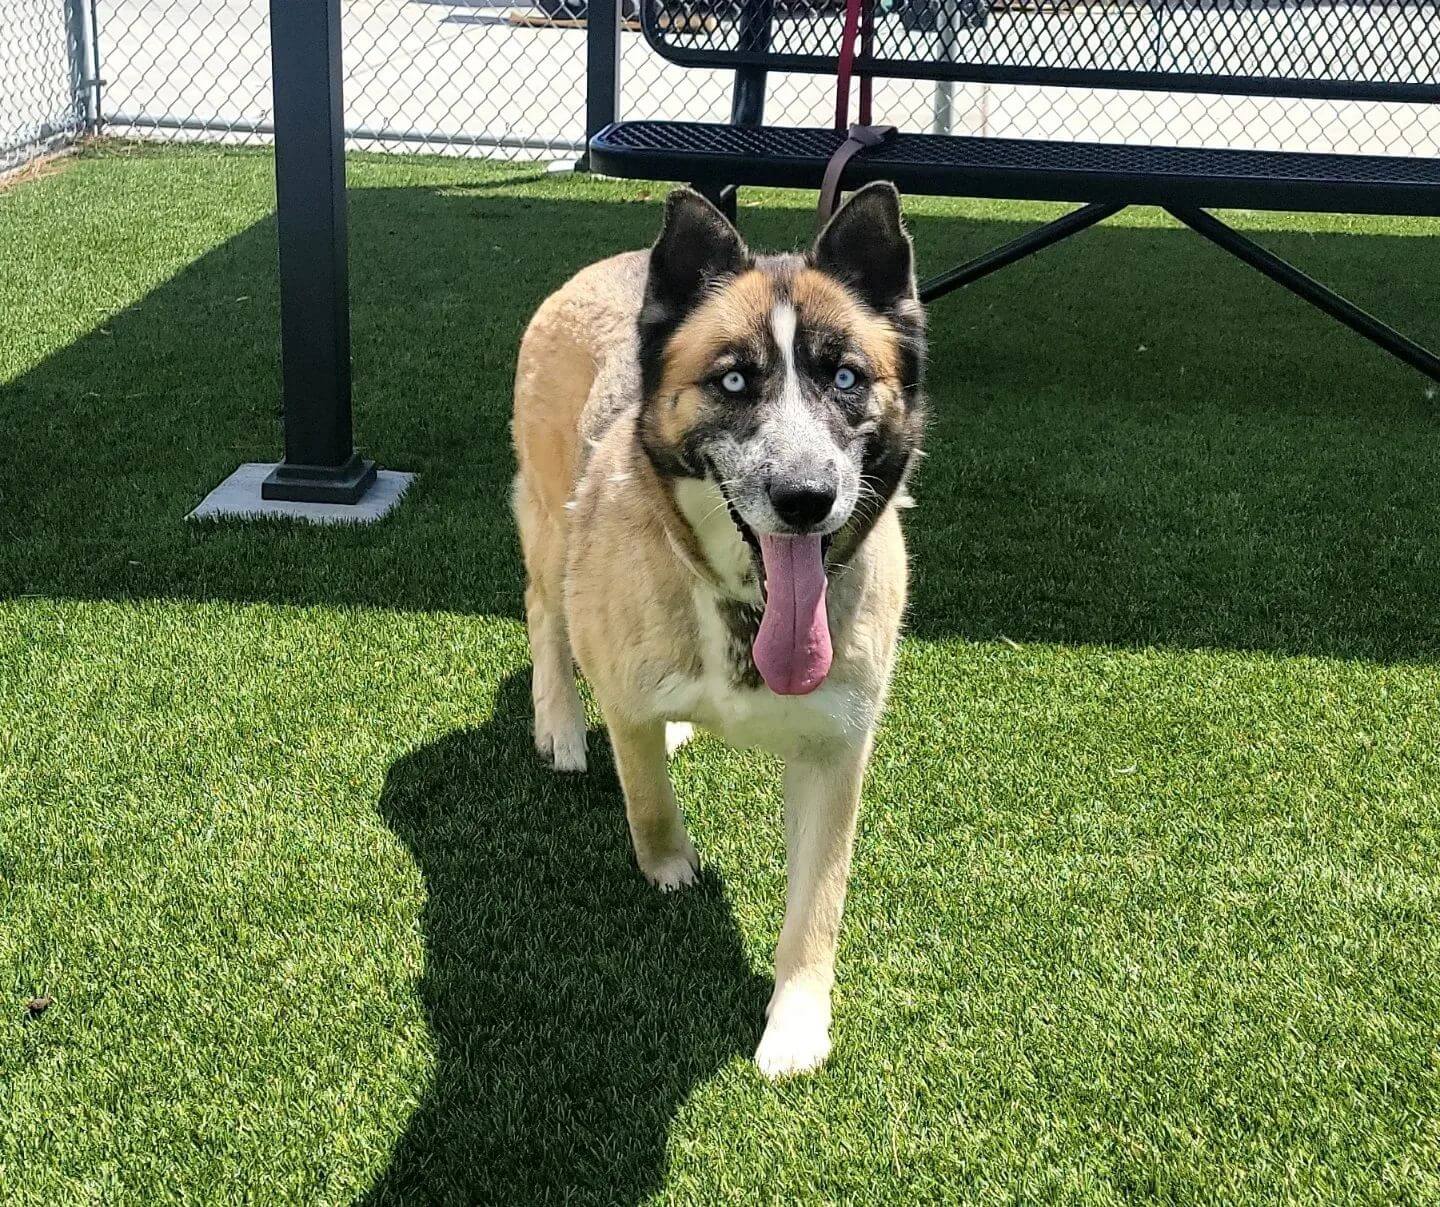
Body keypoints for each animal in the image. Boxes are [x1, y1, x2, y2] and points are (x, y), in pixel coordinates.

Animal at [511, 183, 926, 1077]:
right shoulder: (628, 690)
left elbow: (818, 901)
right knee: (543, 609)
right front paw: (670, 868)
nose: (806, 497)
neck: (747, 610)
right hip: (553, 524)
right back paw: (560, 722)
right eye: (733, 379)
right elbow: (646, 798)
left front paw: (796, 1023)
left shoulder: (837, 750)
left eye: (847, 376)